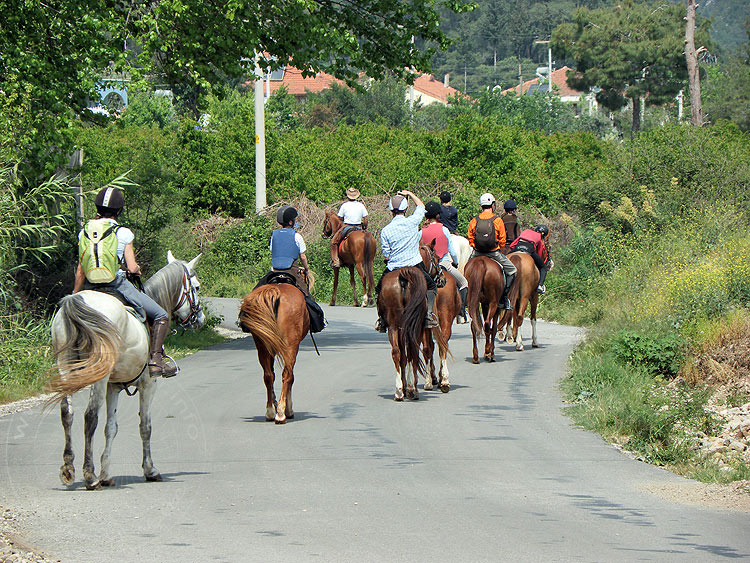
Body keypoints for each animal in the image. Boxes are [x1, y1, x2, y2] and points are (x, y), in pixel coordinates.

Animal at [241, 282, 312, 424]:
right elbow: (291, 377)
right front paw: (288, 409)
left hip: (262, 346)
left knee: (268, 376)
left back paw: (270, 412)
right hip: (290, 347)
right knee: (287, 375)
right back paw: (281, 413)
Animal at [418, 245, 458, 394]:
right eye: (436, 257)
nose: (442, 279)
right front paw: (439, 378)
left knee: (428, 347)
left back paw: (429, 381)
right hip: (446, 320)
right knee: (443, 345)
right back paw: (444, 380)